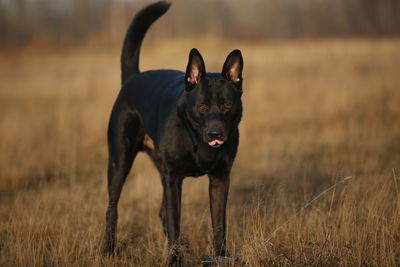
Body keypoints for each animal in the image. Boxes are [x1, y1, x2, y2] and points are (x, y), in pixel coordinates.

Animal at [101, 1, 242, 266]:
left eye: (227, 105)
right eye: (202, 106)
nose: (215, 133)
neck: (196, 141)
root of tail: (133, 77)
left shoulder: (220, 179)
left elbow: (220, 225)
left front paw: (220, 257)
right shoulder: (173, 179)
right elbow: (176, 222)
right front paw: (174, 260)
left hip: (159, 169)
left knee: (161, 212)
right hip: (119, 161)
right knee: (112, 207)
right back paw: (108, 249)